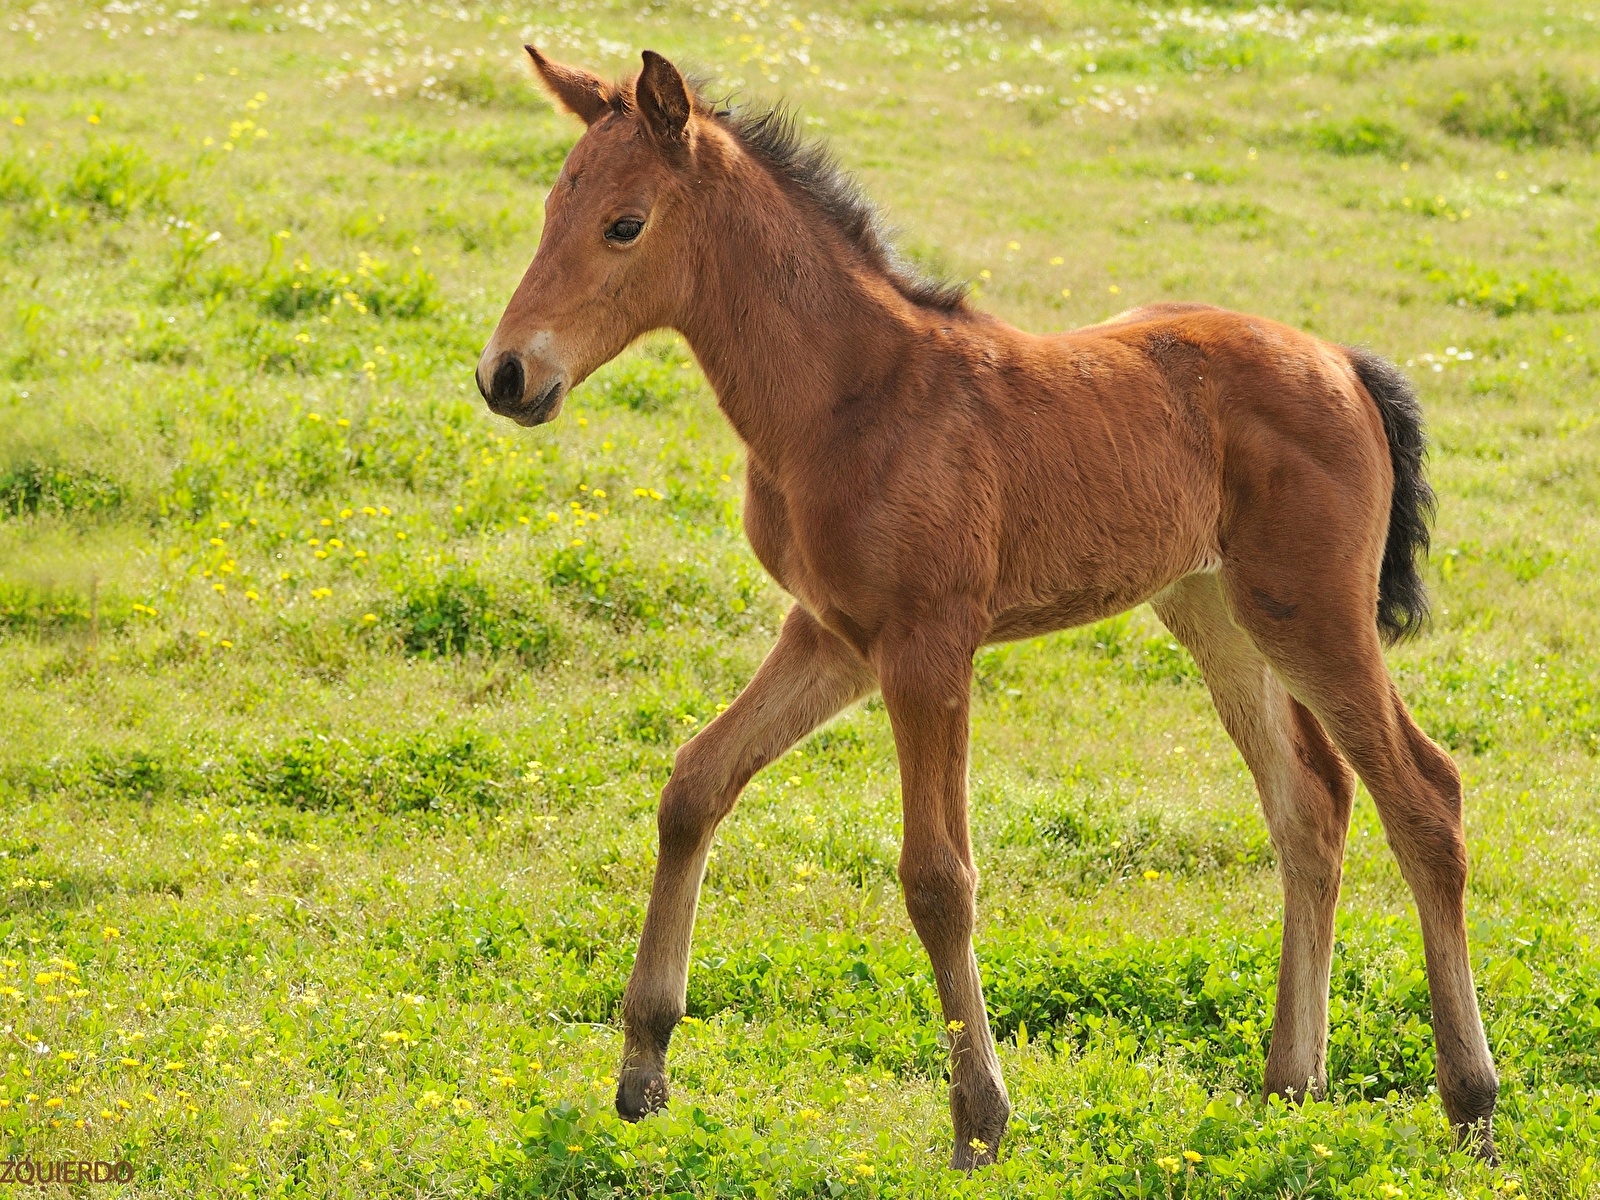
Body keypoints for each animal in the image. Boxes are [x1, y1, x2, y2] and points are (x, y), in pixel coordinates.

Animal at [473, 49, 1497, 1177]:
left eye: (625, 224)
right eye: (550, 210)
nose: (507, 374)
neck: (848, 399)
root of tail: (1345, 364)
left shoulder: (927, 644)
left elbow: (937, 876)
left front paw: (980, 1119)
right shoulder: (833, 636)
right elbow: (694, 784)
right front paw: (644, 1068)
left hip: (1313, 612)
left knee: (1425, 797)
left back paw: (1470, 1103)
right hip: (1216, 611)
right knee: (1309, 804)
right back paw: (1289, 1084)